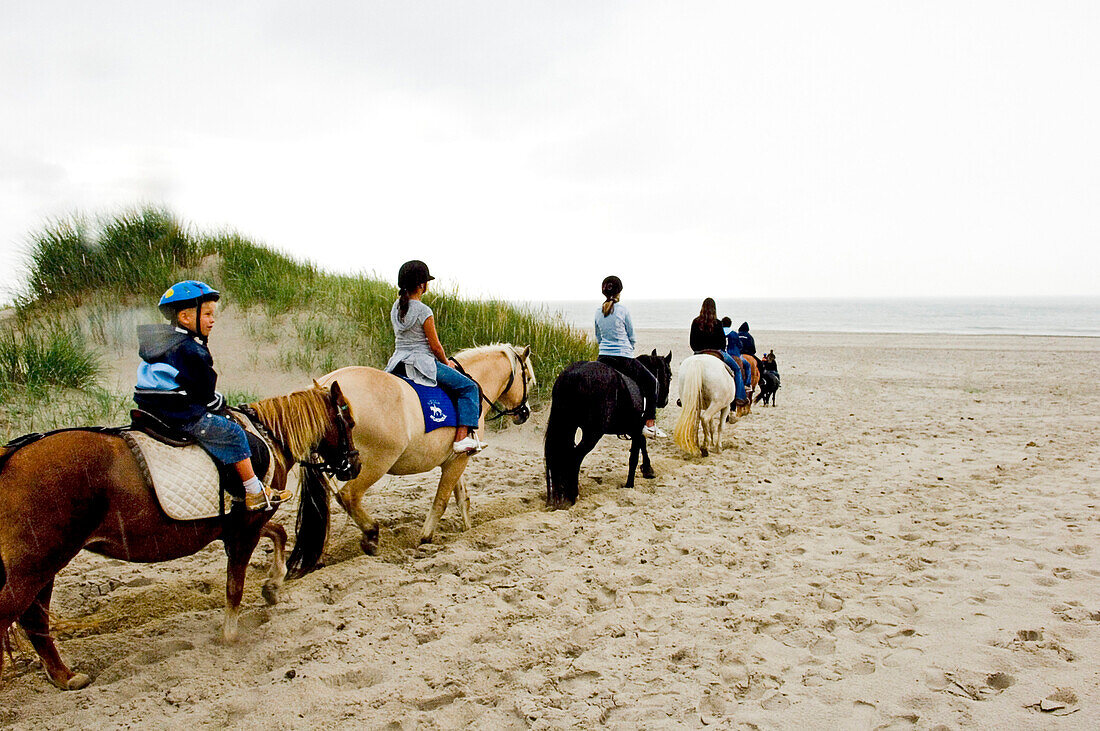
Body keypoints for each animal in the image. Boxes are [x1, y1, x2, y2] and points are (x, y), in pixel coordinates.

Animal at [0, 382, 360, 690]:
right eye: (350, 422)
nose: (353, 465)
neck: (266, 435)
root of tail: (9, 458)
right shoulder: (246, 527)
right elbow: (235, 586)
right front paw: (230, 636)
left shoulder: (242, 524)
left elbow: (279, 533)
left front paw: (272, 587)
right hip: (33, 568)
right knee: (21, 615)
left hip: (44, 567)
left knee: (35, 620)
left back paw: (64, 676)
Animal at [305, 342, 536, 562]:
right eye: (528, 379)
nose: (525, 413)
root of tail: (326, 385)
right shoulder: (458, 461)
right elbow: (442, 501)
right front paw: (426, 538)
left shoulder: (456, 460)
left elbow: (462, 498)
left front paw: (468, 531)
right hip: (373, 465)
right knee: (348, 496)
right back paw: (371, 535)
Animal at [545, 351, 673, 505]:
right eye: (670, 375)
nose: (664, 402)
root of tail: (572, 375)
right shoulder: (636, 427)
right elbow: (634, 456)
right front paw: (630, 485)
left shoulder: (634, 428)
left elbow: (641, 444)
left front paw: (648, 469)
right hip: (593, 433)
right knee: (575, 456)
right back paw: (573, 494)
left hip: (569, 427)